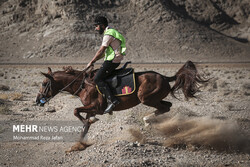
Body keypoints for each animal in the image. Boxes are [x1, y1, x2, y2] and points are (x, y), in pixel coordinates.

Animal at [35, 60, 207, 151]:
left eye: (43, 83)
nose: (37, 100)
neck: (83, 85)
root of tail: (165, 77)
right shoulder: (91, 109)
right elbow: (84, 125)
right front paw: (80, 143)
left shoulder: (97, 108)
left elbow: (76, 111)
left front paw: (90, 123)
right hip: (152, 99)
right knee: (167, 105)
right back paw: (149, 121)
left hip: (146, 98)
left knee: (165, 107)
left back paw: (147, 121)